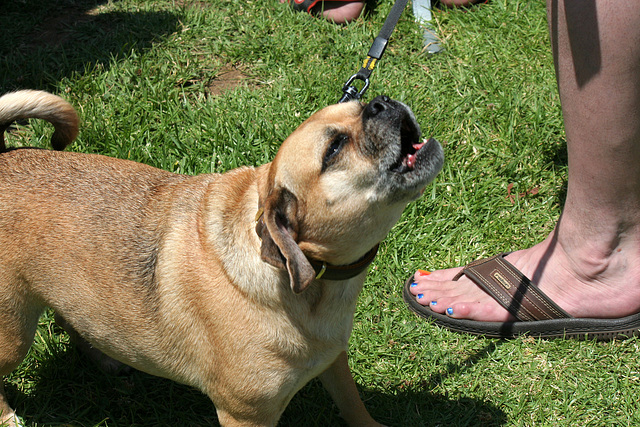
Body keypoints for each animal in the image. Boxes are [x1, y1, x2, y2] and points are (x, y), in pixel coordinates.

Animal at [0, 89, 442, 424]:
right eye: (333, 148)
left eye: (362, 102)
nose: (381, 102)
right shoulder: (246, 415)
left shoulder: (334, 361)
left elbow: (354, 407)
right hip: (13, 337)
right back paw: (9, 417)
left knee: (73, 319)